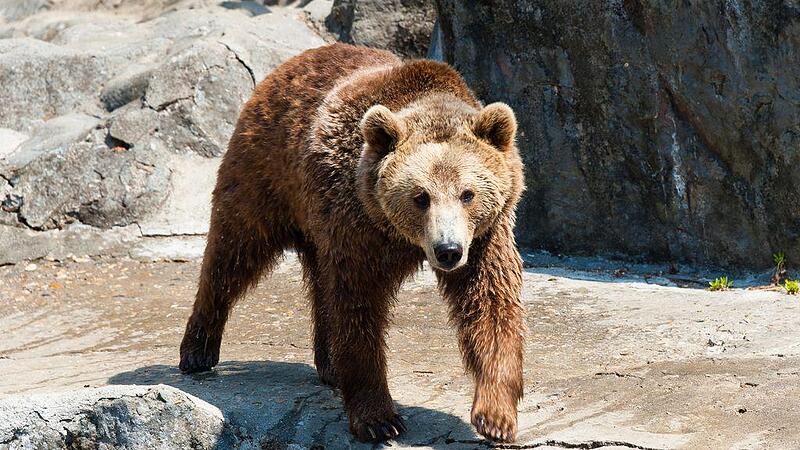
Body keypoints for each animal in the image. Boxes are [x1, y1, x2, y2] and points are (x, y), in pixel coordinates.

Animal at [181, 42, 528, 442]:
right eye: (421, 196)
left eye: (467, 193)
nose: (448, 251)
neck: (399, 235)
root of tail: (286, 66)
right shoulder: (357, 224)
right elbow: (357, 306)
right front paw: (379, 419)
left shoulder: (485, 235)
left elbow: (491, 303)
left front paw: (495, 416)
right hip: (267, 173)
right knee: (233, 250)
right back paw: (197, 349)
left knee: (316, 281)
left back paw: (329, 363)